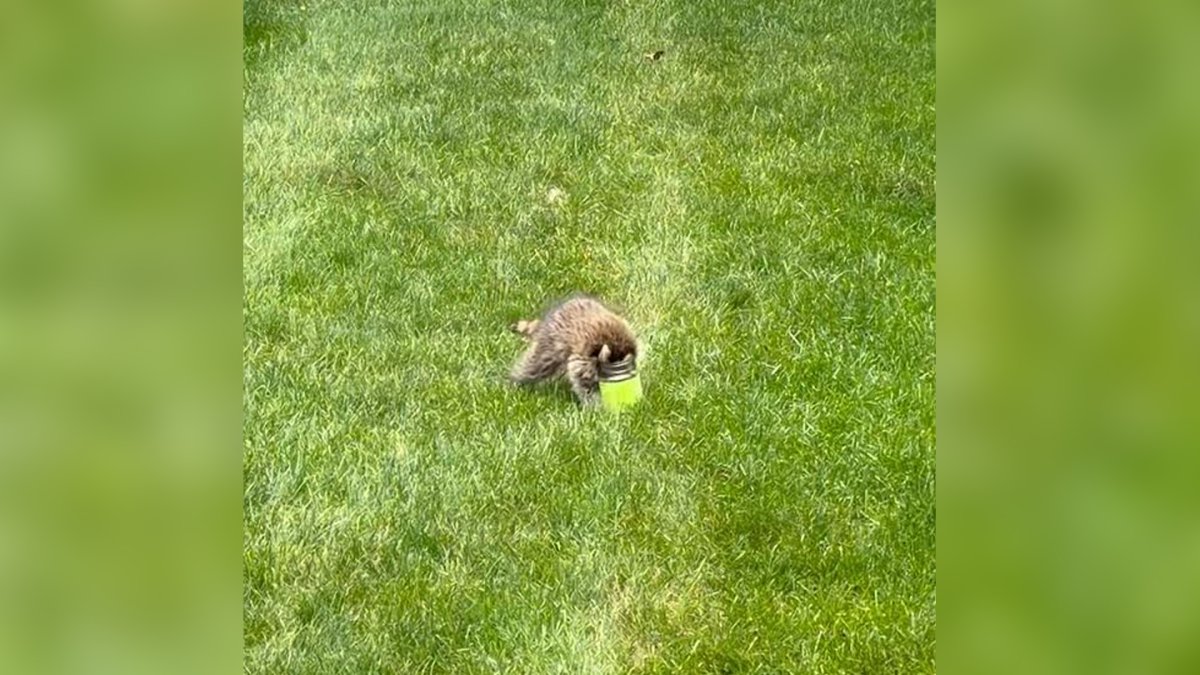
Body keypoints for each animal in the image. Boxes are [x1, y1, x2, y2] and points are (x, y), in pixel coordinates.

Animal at [509, 293, 638, 407]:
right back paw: (517, 379)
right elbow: (583, 383)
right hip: (551, 341)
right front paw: (594, 404)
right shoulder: (584, 359)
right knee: (537, 365)